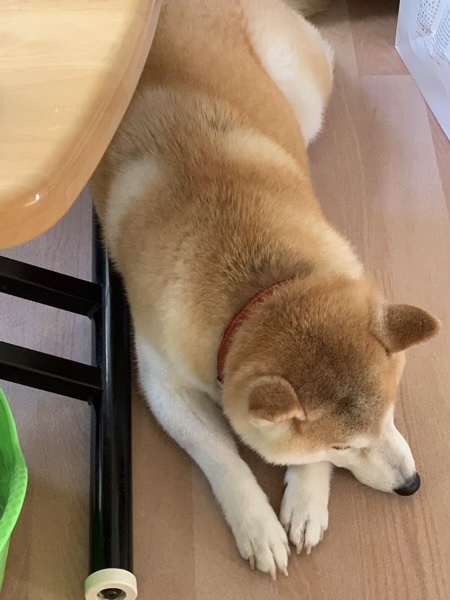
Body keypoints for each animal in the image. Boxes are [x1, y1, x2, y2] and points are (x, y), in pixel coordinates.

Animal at [91, 0, 440, 579]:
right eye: (344, 445)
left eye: (391, 412)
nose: (410, 486)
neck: (264, 289)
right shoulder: (165, 383)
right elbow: (222, 456)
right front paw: (258, 525)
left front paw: (305, 501)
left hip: (304, 93)